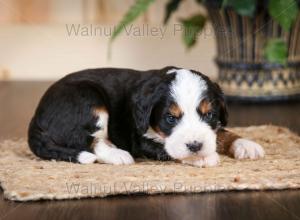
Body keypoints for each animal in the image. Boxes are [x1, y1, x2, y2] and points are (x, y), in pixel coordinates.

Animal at [27, 67, 262, 167]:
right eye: (170, 118)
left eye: (209, 114)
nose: (195, 146)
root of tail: (36, 116)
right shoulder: (139, 138)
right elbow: (166, 149)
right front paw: (202, 157)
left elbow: (221, 132)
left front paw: (245, 144)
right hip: (89, 100)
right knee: (88, 141)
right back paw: (117, 154)